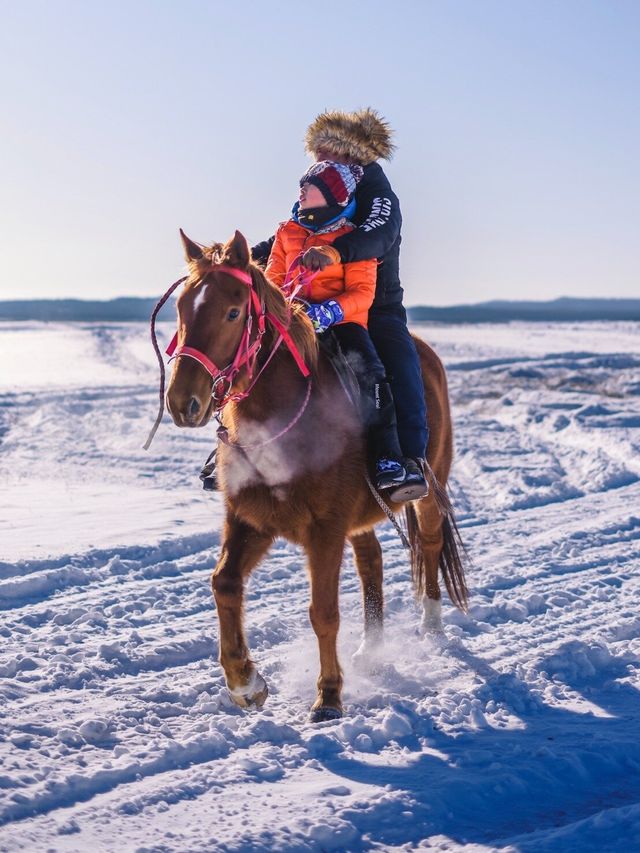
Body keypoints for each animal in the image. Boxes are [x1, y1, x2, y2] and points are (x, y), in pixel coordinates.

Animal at [162, 228, 468, 720]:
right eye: (181, 308)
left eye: (233, 312)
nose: (181, 401)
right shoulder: (249, 518)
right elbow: (224, 583)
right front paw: (245, 682)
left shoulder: (325, 528)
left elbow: (323, 613)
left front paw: (328, 696)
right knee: (371, 560)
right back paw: (370, 648)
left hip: (427, 488)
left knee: (429, 544)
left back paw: (432, 626)